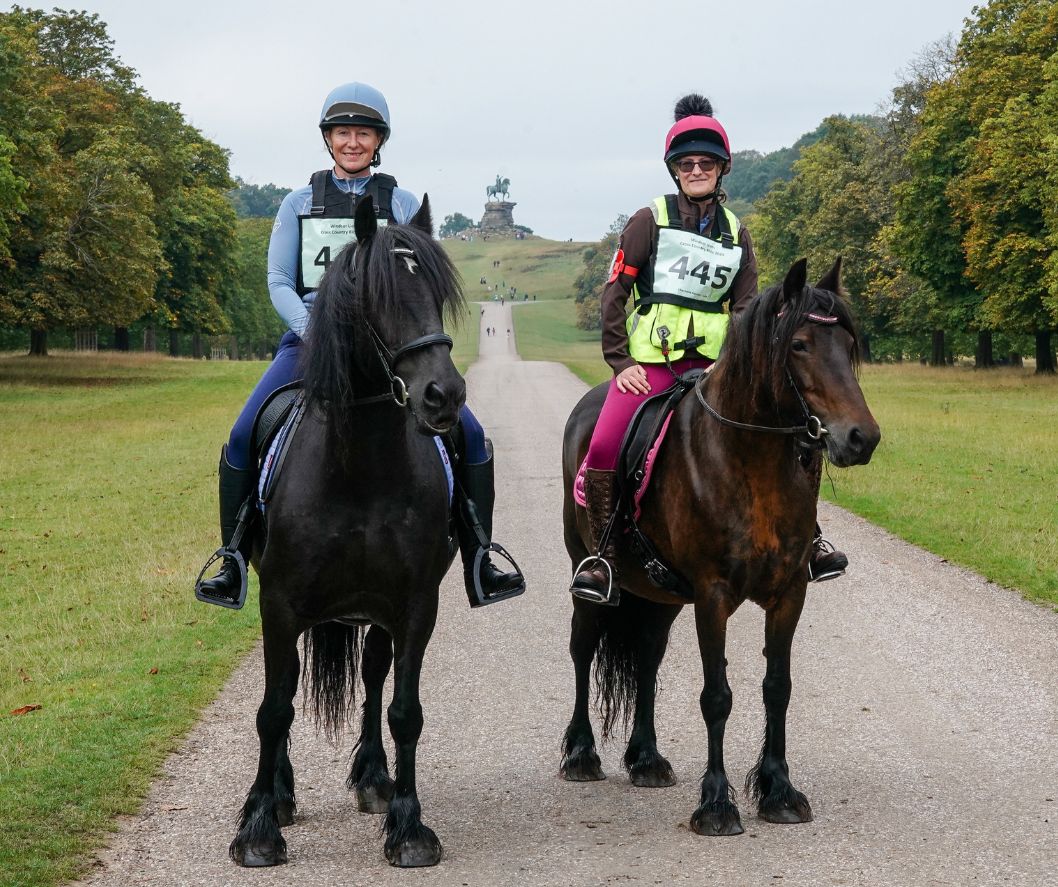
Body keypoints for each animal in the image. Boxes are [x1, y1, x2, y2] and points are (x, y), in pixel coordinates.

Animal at [229, 194, 468, 868]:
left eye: (437, 292)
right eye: (376, 296)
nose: (443, 395)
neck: (360, 466)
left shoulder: (414, 604)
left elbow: (405, 711)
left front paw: (409, 827)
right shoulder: (280, 602)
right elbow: (274, 709)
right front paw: (260, 827)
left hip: (376, 613)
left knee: (373, 679)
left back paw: (375, 780)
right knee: (285, 691)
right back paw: (278, 793)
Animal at [559, 257, 880, 836]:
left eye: (847, 344)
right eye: (799, 344)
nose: (860, 438)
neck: (749, 460)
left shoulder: (789, 594)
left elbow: (777, 687)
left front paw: (779, 791)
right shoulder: (712, 597)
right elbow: (717, 696)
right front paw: (715, 804)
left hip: (661, 592)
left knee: (648, 657)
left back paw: (646, 759)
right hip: (589, 572)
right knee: (582, 648)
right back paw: (581, 755)